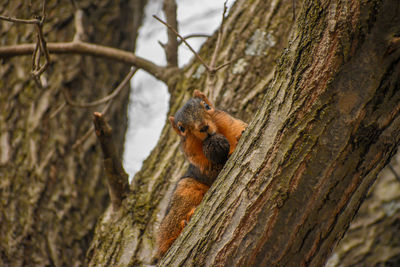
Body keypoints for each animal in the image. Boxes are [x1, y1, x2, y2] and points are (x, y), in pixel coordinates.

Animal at [156, 90, 247, 260]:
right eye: (181, 128)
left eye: (207, 106)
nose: (203, 127)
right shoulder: (201, 166)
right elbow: (216, 169)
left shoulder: (233, 124)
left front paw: (239, 137)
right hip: (186, 191)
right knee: (166, 241)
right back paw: (185, 223)